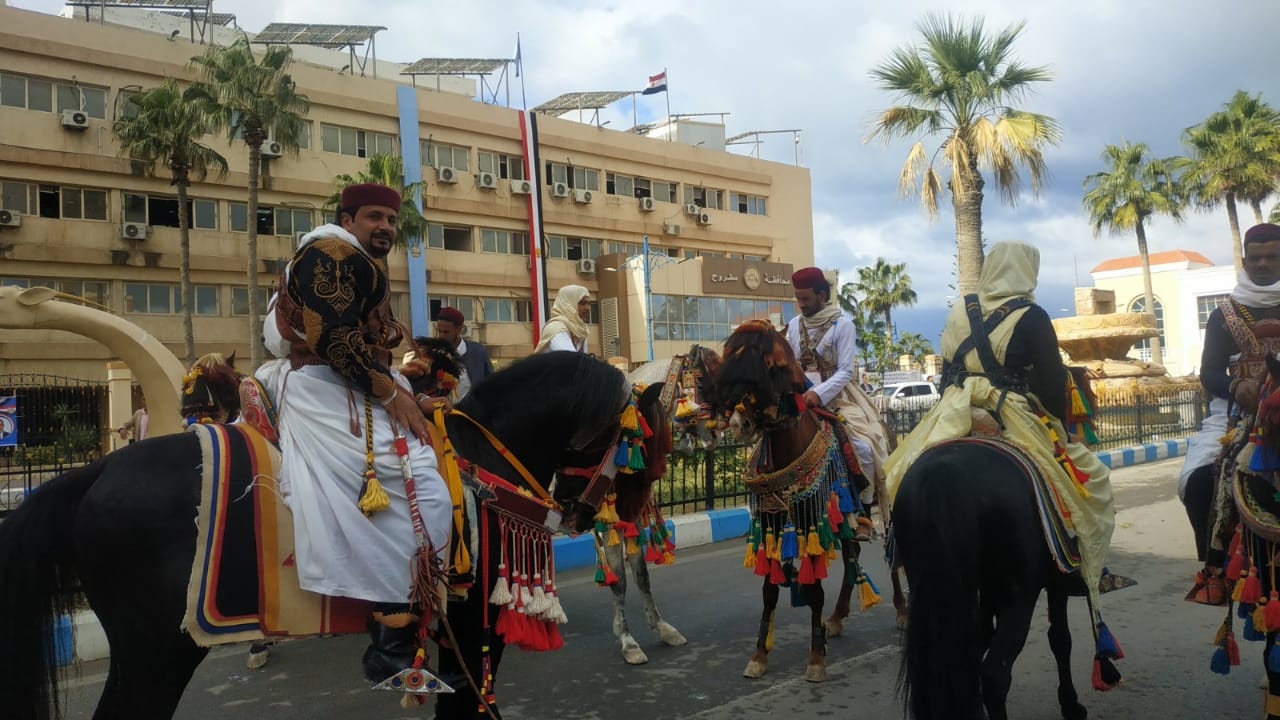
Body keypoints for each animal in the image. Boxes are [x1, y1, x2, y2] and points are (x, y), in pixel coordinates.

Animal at [0, 348, 634, 717]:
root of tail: (98, 470)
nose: (582, 513)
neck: (480, 456)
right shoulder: (475, 621)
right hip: (158, 651)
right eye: (623, 435)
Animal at [701, 322, 901, 681]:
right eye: (731, 361)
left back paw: (902, 613)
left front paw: (816, 657)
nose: (738, 424)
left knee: (891, 554)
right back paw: (836, 618)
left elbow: (815, 588)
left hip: (884, 499)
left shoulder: (810, 520)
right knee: (852, 553)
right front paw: (759, 656)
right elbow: (769, 589)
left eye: (768, 366)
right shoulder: (772, 520)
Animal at [890, 438, 1090, 717]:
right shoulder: (1055, 580)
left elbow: (979, 639)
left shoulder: (986, 589)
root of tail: (941, 475)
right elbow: (1060, 638)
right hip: (1020, 595)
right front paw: (1070, 704)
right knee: (996, 674)